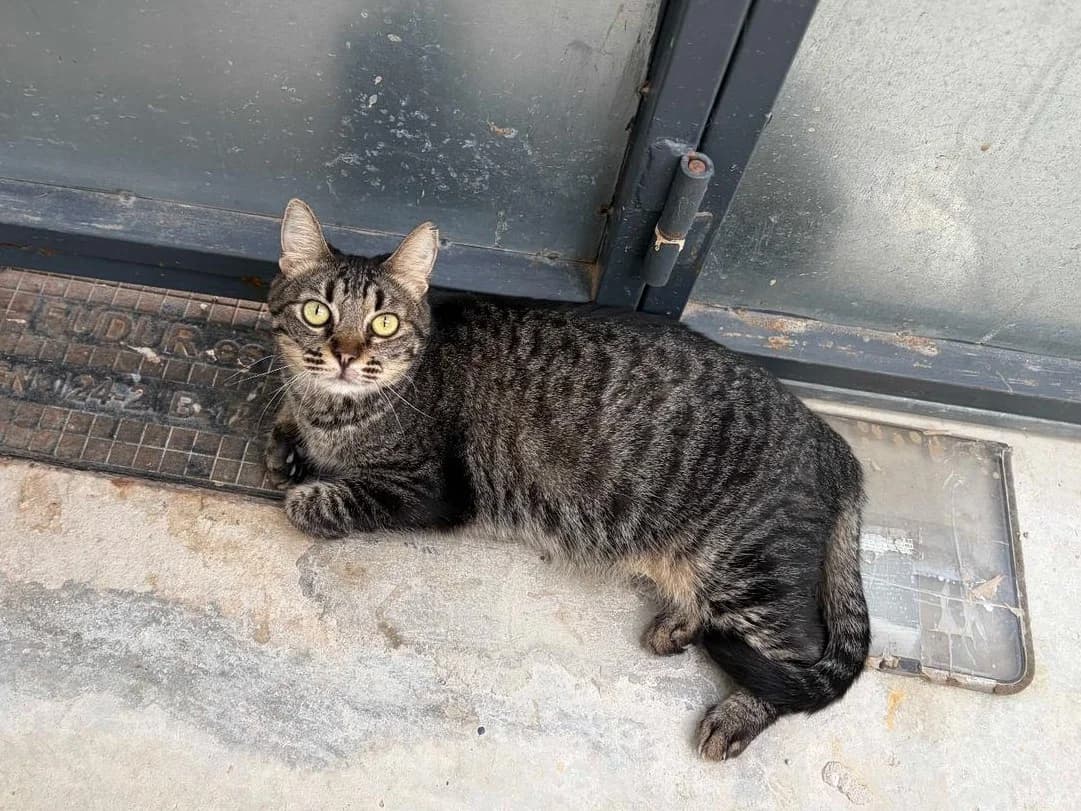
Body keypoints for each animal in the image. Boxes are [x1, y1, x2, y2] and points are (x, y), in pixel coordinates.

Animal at [265, 199, 870, 760]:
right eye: (317, 312)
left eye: (383, 323)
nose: (345, 356)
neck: (334, 410)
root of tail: (832, 442)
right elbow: (287, 427)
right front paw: (286, 444)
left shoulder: (427, 490)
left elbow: (328, 501)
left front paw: (304, 488)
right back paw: (679, 622)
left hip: (749, 563)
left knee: (796, 656)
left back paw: (737, 714)